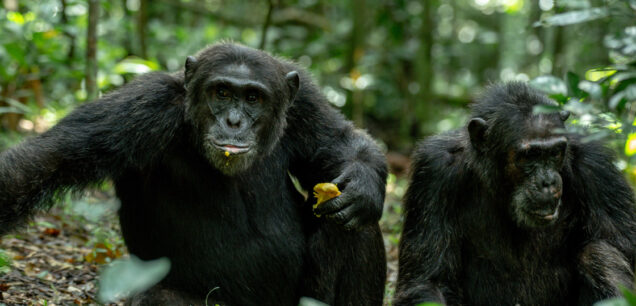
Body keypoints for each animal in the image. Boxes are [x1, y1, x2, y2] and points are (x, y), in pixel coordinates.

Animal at [0, 41, 388, 304]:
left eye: (253, 98)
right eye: (222, 92)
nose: (233, 122)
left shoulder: (305, 101)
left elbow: (339, 142)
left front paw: (363, 189)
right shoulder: (143, 106)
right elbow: (50, 159)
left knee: (355, 226)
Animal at [396, 82, 632, 304]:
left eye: (555, 152)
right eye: (530, 155)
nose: (548, 181)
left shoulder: (597, 167)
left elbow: (624, 247)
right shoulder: (434, 172)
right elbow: (428, 280)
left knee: (598, 253)